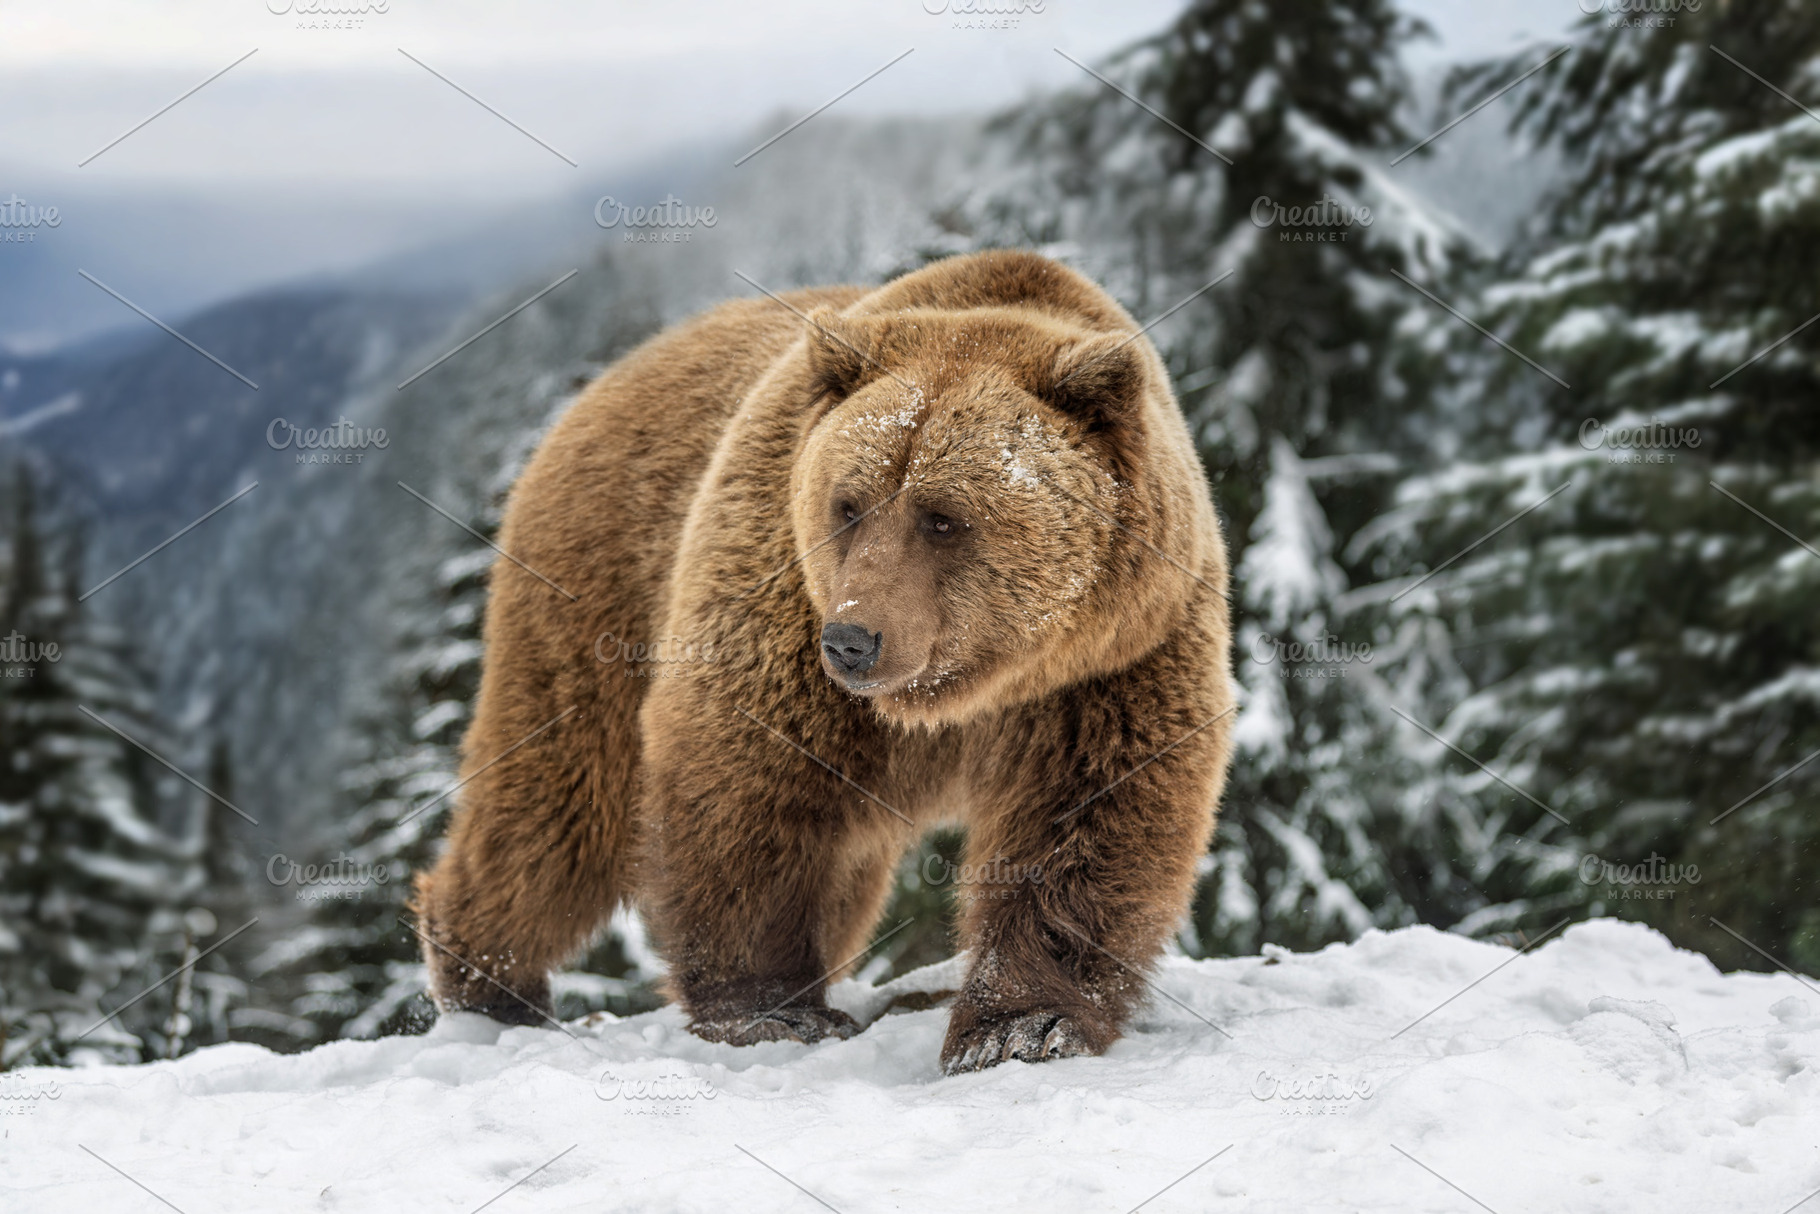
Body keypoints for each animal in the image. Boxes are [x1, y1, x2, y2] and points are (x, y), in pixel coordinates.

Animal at [411, 249, 1235, 1073]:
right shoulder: (781, 612)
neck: (964, 690)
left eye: (943, 517)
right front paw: (771, 1011)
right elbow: (747, 784)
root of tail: (606, 381)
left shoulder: (1112, 661)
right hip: (598, 587)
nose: (852, 639)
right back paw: (491, 987)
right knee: (557, 805)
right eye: (850, 504)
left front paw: (1022, 1024)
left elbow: (1088, 815)